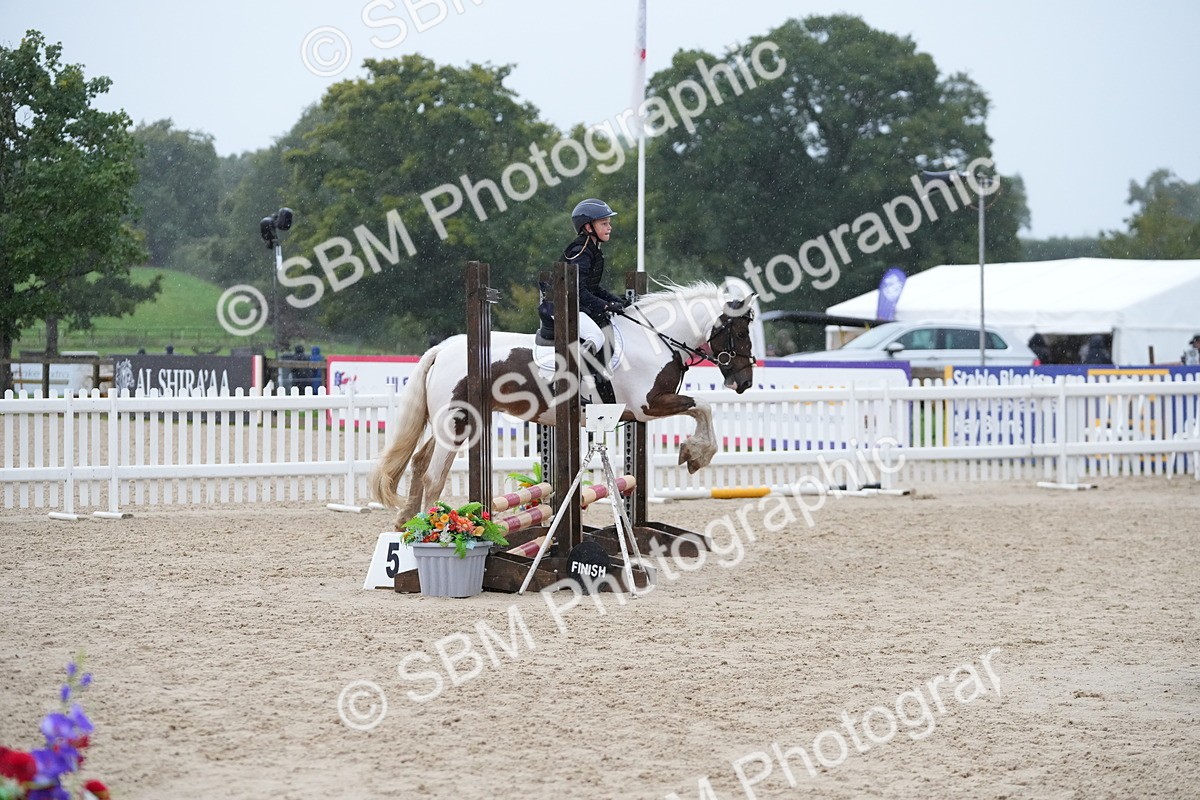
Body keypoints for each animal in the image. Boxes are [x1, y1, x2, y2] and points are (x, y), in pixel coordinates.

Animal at [370, 281, 757, 525]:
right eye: (740, 332)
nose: (744, 382)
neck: (655, 339)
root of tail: (444, 348)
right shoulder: (648, 405)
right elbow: (703, 405)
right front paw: (696, 454)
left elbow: (702, 408)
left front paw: (694, 452)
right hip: (457, 421)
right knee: (434, 474)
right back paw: (429, 527)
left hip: (453, 422)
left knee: (419, 462)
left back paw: (406, 522)